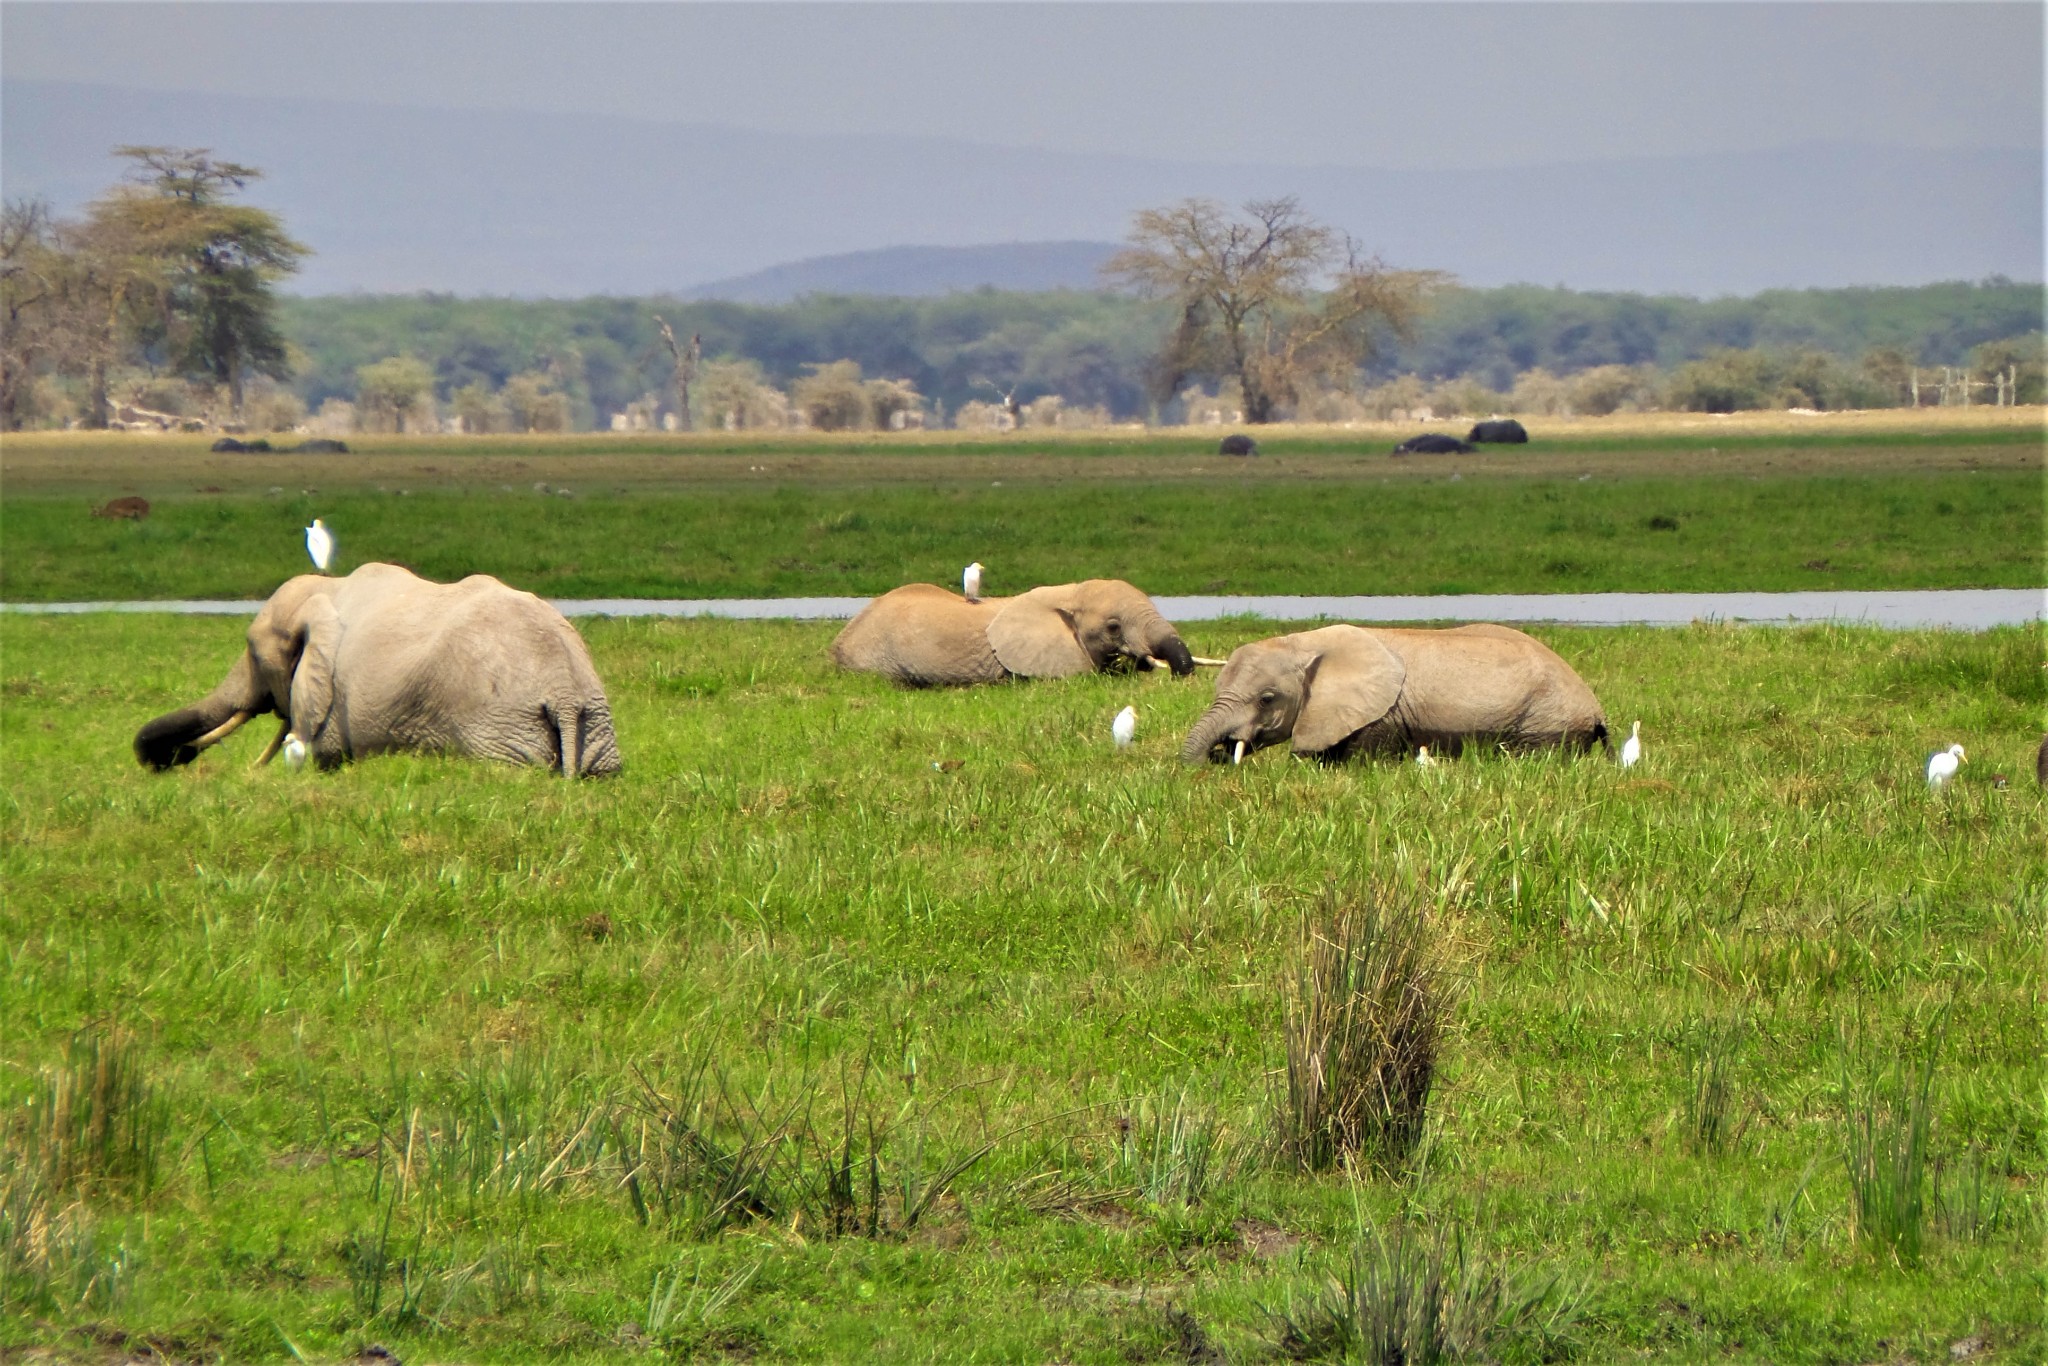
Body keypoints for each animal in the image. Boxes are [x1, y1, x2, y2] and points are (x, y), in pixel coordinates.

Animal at [136, 565, 618, 778]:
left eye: (255, 654)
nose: (172, 758)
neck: (325, 589)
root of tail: (565, 695)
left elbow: (325, 756)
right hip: (596, 732)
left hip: (499, 733)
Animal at [1187, 626, 1613, 765]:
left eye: (1267, 698)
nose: (1218, 754)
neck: (1304, 643)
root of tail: (1596, 708)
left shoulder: (1380, 716)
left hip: (1546, 724)